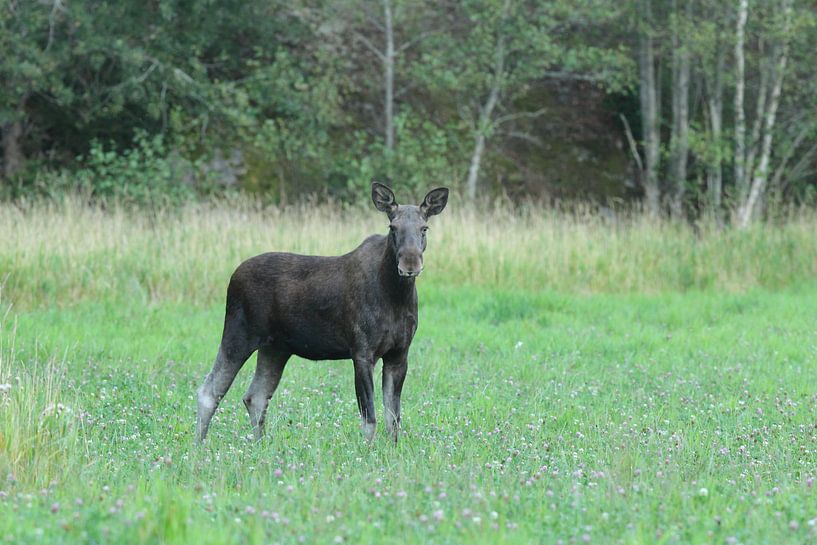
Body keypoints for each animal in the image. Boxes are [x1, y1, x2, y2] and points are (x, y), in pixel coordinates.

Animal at [196, 182, 449, 443]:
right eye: (392, 227)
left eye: (424, 228)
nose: (410, 264)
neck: (396, 296)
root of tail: (232, 277)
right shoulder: (361, 351)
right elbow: (370, 418)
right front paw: (368, 450)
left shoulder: (399, 353)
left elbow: (393, 419)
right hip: (239, 333)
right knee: (209, 391)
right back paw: (200, 444)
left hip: (276, 348)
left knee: (254, 396)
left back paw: (260, 444)